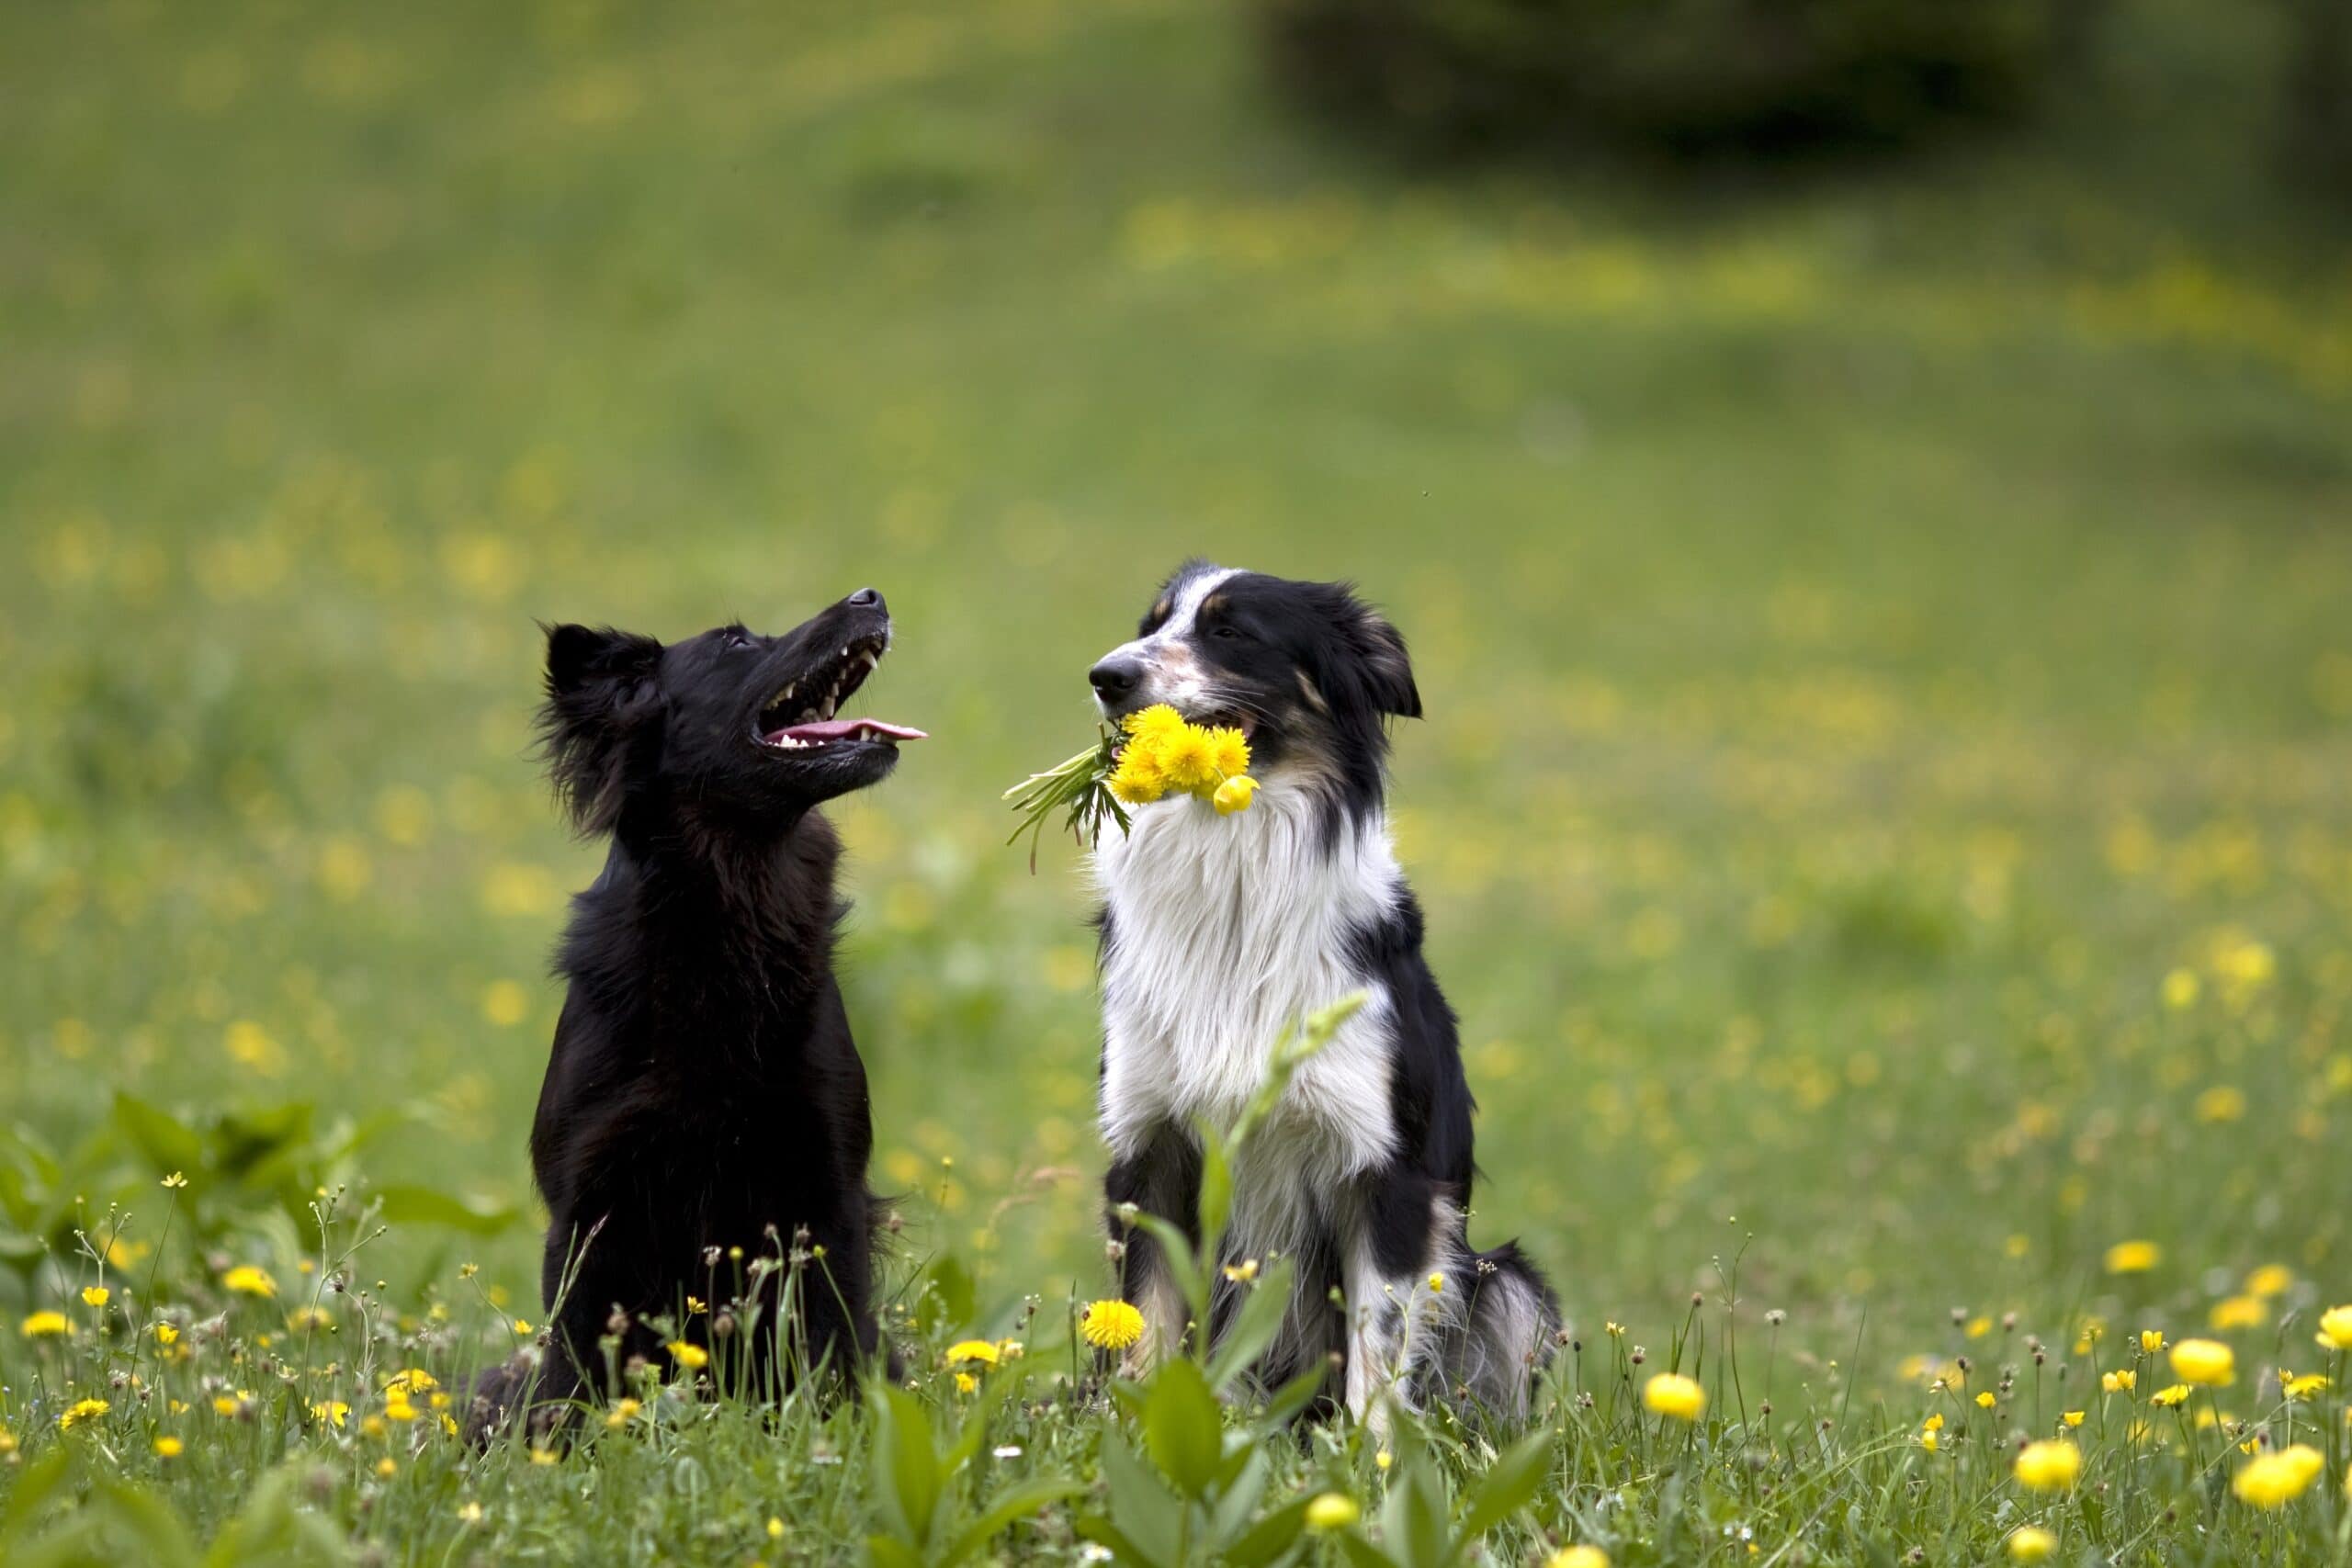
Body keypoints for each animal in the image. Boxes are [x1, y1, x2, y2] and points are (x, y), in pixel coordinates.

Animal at [472, 587, 922, 1438]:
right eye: (738, 643)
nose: (872, 596)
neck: (729, 908)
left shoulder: (827, 1189)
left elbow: (830, 1341)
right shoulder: (589, 1203)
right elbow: (576, 1360)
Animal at [1086, 561, 1561, 1419]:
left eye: (1230, 630)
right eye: (1151, 624)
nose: (1106, 676)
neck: (1235, 878)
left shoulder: (1386, 1172)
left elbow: (1377, 1353)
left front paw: (1370, 1457)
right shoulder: (1150, 1150)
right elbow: (1144, 1328)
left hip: (1509, 1284)